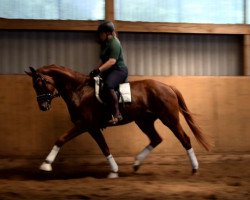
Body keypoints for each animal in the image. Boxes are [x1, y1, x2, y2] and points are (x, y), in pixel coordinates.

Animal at [25, 65, 209, 177]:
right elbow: (105, 148)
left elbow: (61, 139)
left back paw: (194, 168)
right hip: (144, 121)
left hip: (169, 119)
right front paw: (114, 171)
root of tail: (168, 86)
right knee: (156, 139)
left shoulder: (84, 125)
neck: (79, 91)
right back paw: (136, 163)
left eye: (40, 83)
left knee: (185, 139)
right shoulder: (92, 128)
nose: (43, 106)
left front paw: (46, 165)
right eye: (34, 86)